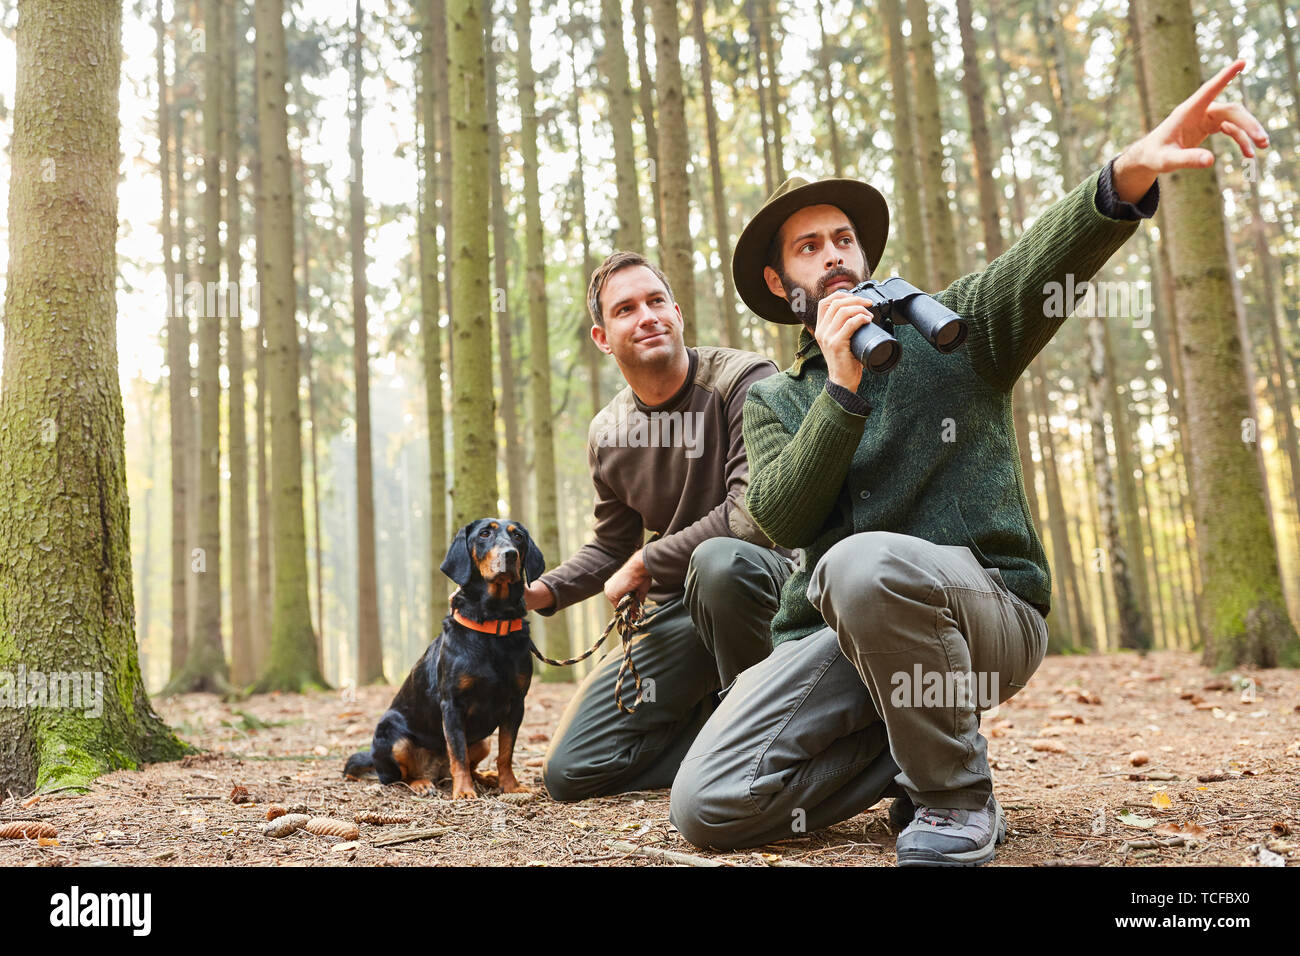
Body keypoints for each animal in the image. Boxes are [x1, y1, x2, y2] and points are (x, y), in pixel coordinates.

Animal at [340, 520, 543, 796]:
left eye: (518, 536)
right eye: (484, 533)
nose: (510, 554)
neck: (493, 625)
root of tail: (436, 770)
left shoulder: (516, 703)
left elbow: (506, 752)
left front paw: (511, 785)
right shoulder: (453, 704)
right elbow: (457, 751)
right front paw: (464, 792)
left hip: (483, 742)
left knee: (469, 763)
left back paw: (485, 777)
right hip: (393, 737)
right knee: (398, 776)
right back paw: (422, 783)